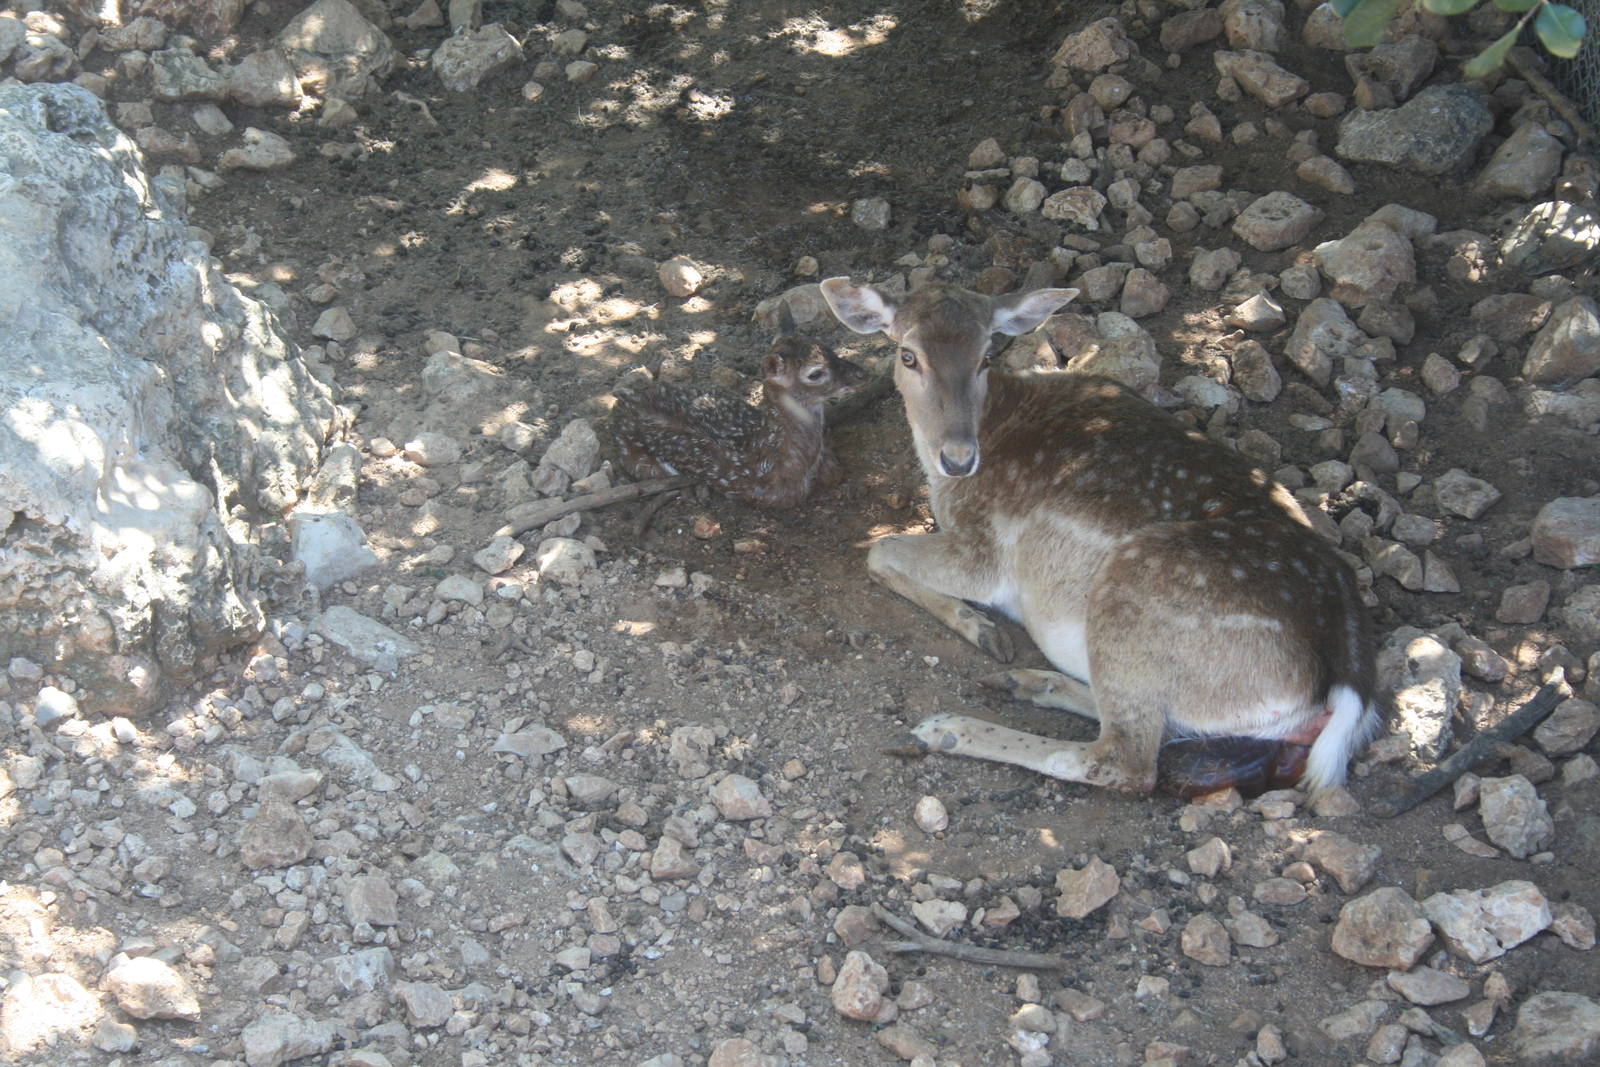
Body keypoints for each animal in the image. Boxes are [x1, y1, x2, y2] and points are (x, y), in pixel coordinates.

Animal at [610, 306, 867, 509]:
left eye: (828, 348)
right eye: (815, 373)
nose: (861, 374)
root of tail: (621, 403)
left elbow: (835, 472)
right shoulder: (774, 497)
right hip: (640, 461)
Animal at [819, 277, 1379, 799]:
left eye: (985, 357)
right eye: (907, 355)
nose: (959, 459)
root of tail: (1349, 674)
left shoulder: (981, 550)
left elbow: (878, 550)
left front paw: (980, 627)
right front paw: (987, 634)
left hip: (1134, 594)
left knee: (1126, 762)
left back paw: (948, 729)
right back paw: (1024, 681)